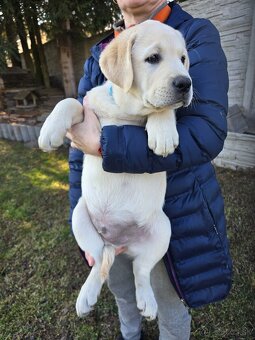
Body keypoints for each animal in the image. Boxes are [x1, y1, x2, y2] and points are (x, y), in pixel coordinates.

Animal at [38, 19, 192, 320]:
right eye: (153, 58)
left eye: (183, 59)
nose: (185, 83)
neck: (127, 112)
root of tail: (120, 244)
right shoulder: (87, 106)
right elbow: (69, 101)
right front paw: (50, 130)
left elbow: (163, 109)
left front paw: (163, 132)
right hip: (80, 217)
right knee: (99, 261)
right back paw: (86, 296)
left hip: (163, 230)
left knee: (140, 270)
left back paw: (147, 301)